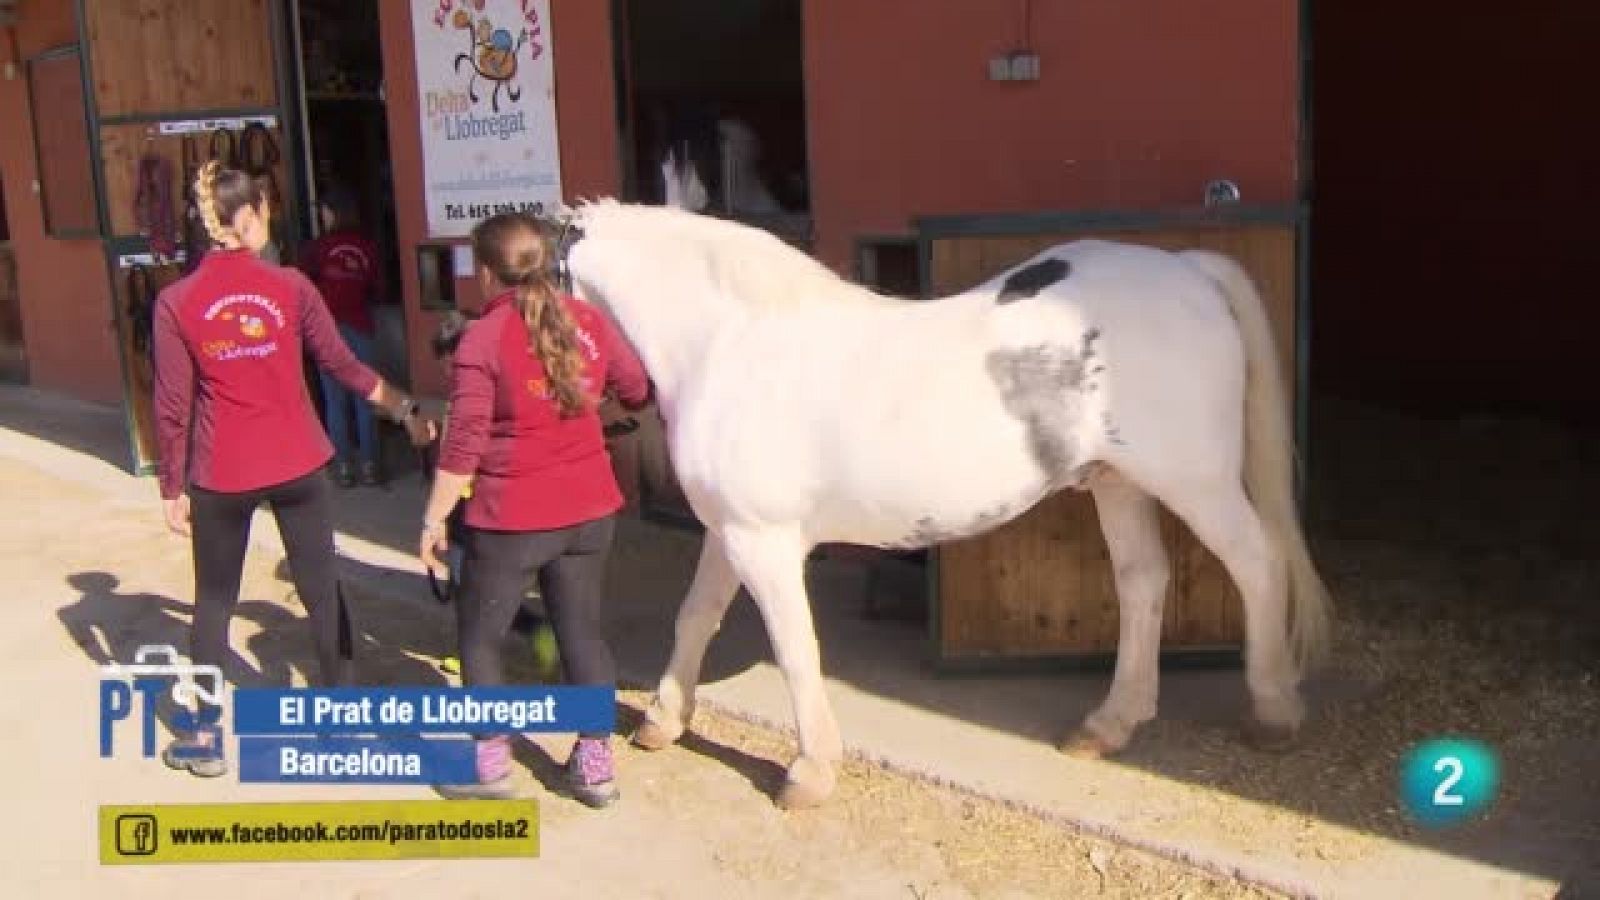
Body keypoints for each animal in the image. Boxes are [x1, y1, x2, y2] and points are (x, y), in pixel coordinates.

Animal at [569, 199, 1331, 800]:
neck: (729, 344)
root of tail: (1189, 270)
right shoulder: (730, 532)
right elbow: (696, 617)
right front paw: (662, 719)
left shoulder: (764, 543)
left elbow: (794, 648)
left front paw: (809, 771)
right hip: (1118, 483)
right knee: (1144, 582)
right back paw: (1109, 723)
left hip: (1196, 482)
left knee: (1258, 565)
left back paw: (1273, 713)